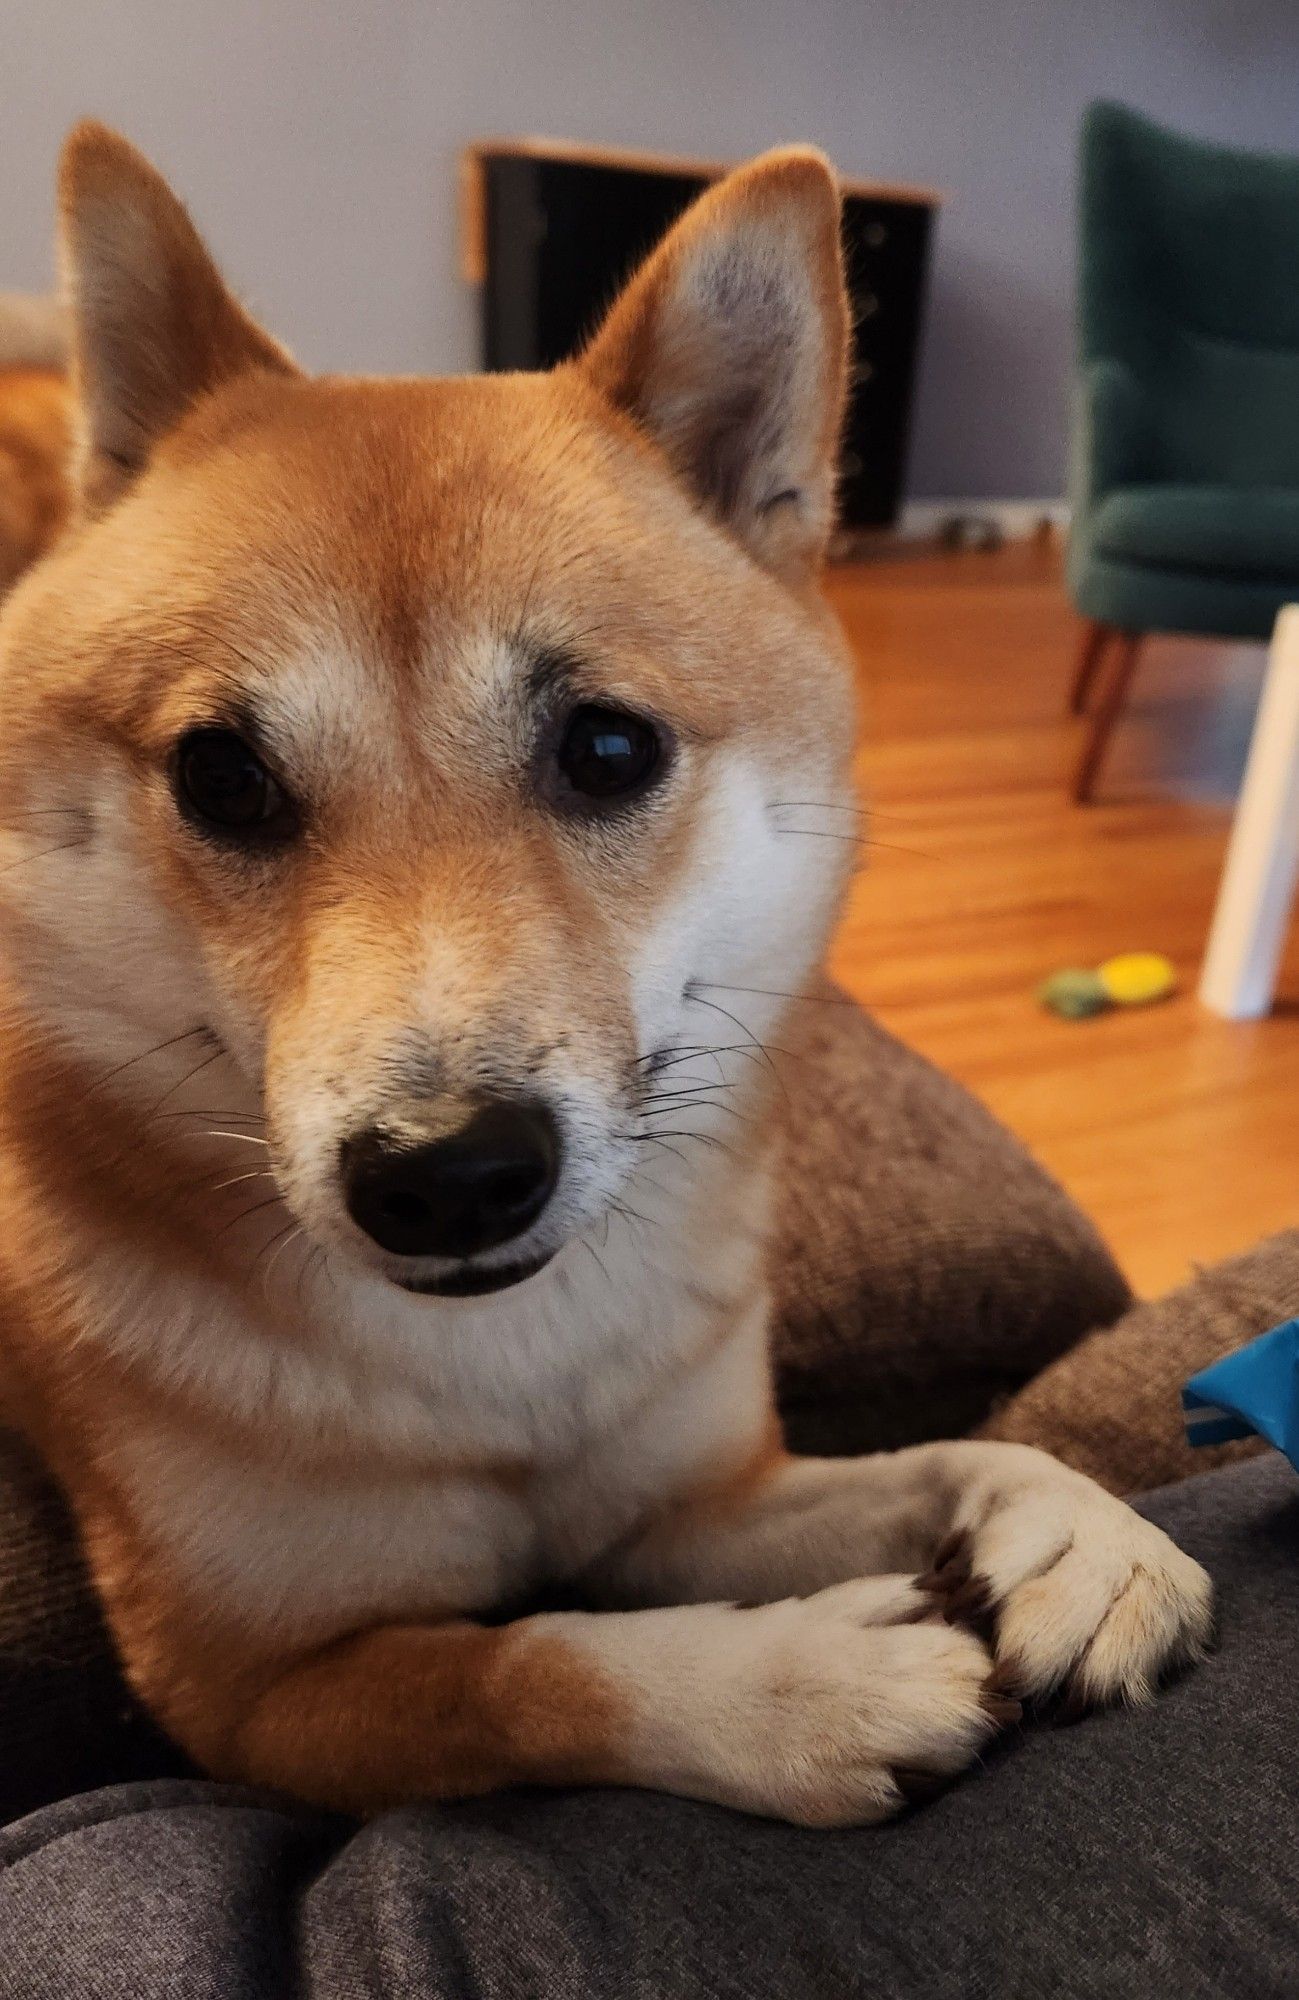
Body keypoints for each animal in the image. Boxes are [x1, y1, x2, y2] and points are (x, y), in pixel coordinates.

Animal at [0, 117, 1207, 1824]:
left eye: (609, 749)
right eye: (221, 778)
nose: (445, 1177)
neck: (507, 1375)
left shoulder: (690, 1498)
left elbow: (950, 1457)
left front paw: (1075, 1531)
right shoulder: (255, 1697)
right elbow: (535, 1669)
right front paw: (799, 1685)